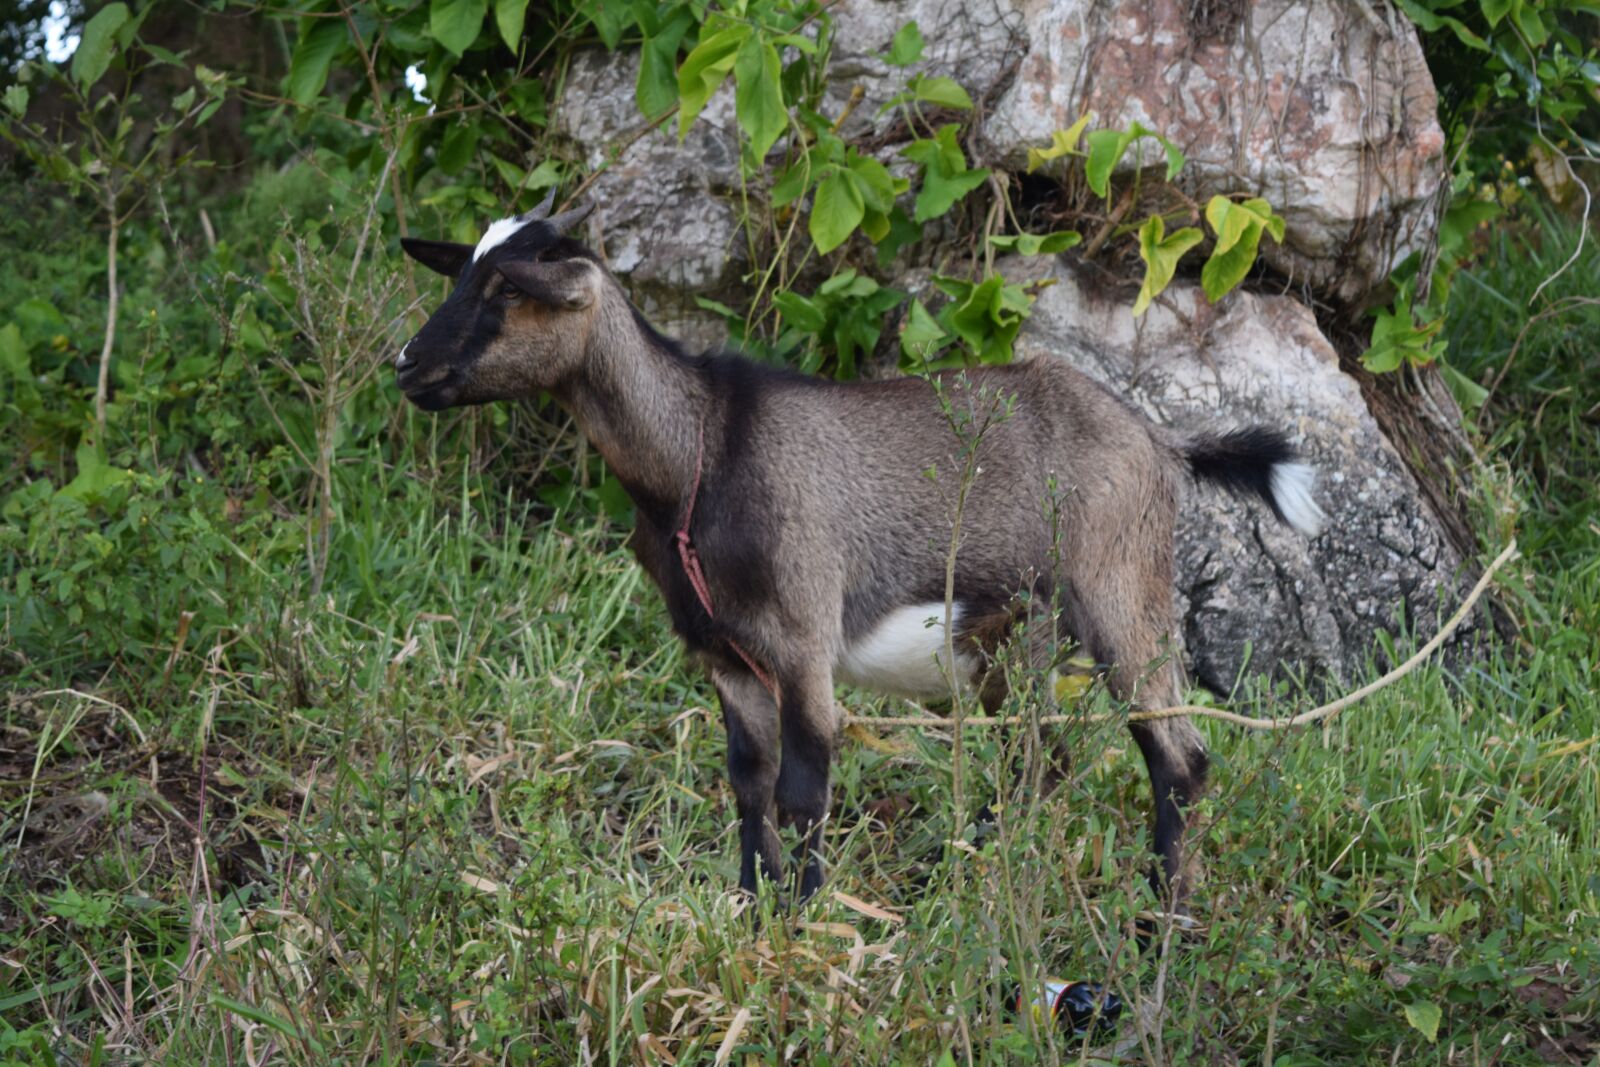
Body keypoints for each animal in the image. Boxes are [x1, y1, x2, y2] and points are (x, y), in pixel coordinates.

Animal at [393, 193, 1323, 903]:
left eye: (507, 288)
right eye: (465, 271)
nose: (405, 364)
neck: (699, 451)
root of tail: (1161, 441)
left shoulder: (803, 634)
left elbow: (804, 789)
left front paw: (805, 915)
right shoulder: (726, 654)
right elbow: (747, 779)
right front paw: (751, 901)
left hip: (1122, 591)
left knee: (1178, 756)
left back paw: (1162, 915)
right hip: (1012, 637)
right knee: (1043, 755)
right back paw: (976, 866)